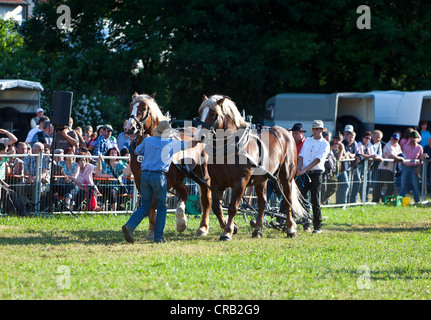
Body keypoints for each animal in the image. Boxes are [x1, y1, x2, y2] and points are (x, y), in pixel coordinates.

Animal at [124, 91, 215, 236]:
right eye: (131, 107)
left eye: (143, 109)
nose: (129, 128)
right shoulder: (140, 181)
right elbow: (149, 204)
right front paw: (152, 229)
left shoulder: (164, 181)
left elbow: (155, 202)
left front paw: (154, 229)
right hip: (180, 177)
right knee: (184, 191)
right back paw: (181, 221)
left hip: (202, 174)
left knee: (206, 198)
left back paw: (203, 227)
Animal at [196, 94, 308, 240]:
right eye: (200, 112)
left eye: (213, 114)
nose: (199, 136)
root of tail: (286, 132)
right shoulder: (216, 182)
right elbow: (216, 206)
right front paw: (229, 226)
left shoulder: (241, 181)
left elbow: (233, 207)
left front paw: (227, 232)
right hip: (262, 179)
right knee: (262, 203)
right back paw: (257, 230)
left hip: (286, 177)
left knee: (287, 199)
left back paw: (290, 229)